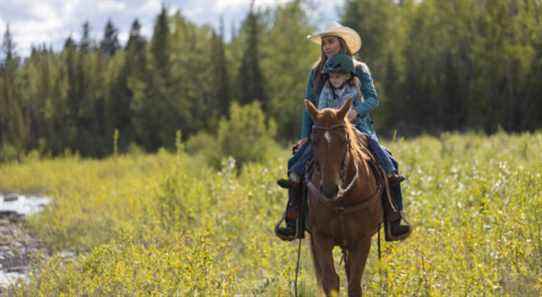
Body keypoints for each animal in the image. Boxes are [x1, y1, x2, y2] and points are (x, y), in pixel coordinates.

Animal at [304, 98, 384, 294]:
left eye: (343, 140)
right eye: (314, 141)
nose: (329, 189)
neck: (343, 199)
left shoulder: (362, 240)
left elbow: (354, 284)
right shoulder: (321, 237)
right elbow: (331, 281)